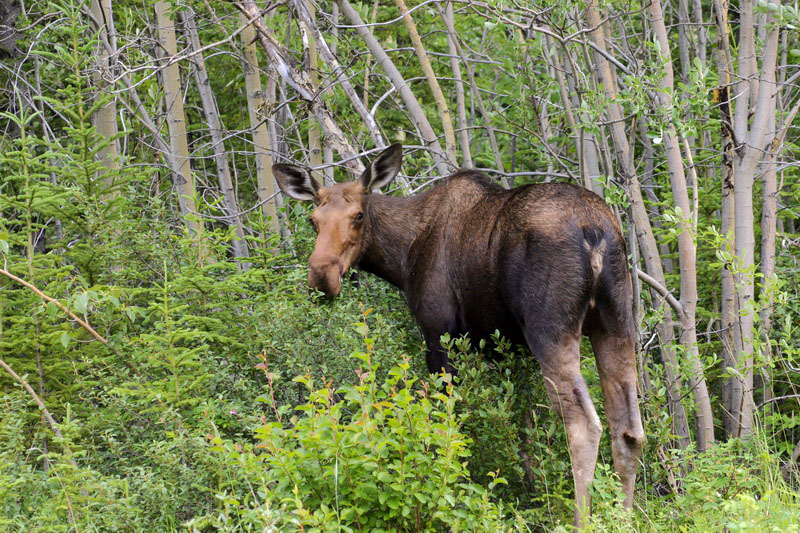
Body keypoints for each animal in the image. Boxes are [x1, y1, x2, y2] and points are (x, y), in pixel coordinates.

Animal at [273, 144, 645, 528]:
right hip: (616, 324)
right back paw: (625, 517)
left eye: (358, 215)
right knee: (629, 430)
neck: (402, 256)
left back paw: (581, 520)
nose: (322, 276)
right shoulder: (512, 349)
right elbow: (523, 433)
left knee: (585, 426)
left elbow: (449, 426)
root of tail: (595, 232)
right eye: (312, 220)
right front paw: (527, 494)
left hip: (551, 330)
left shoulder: (439, 334)